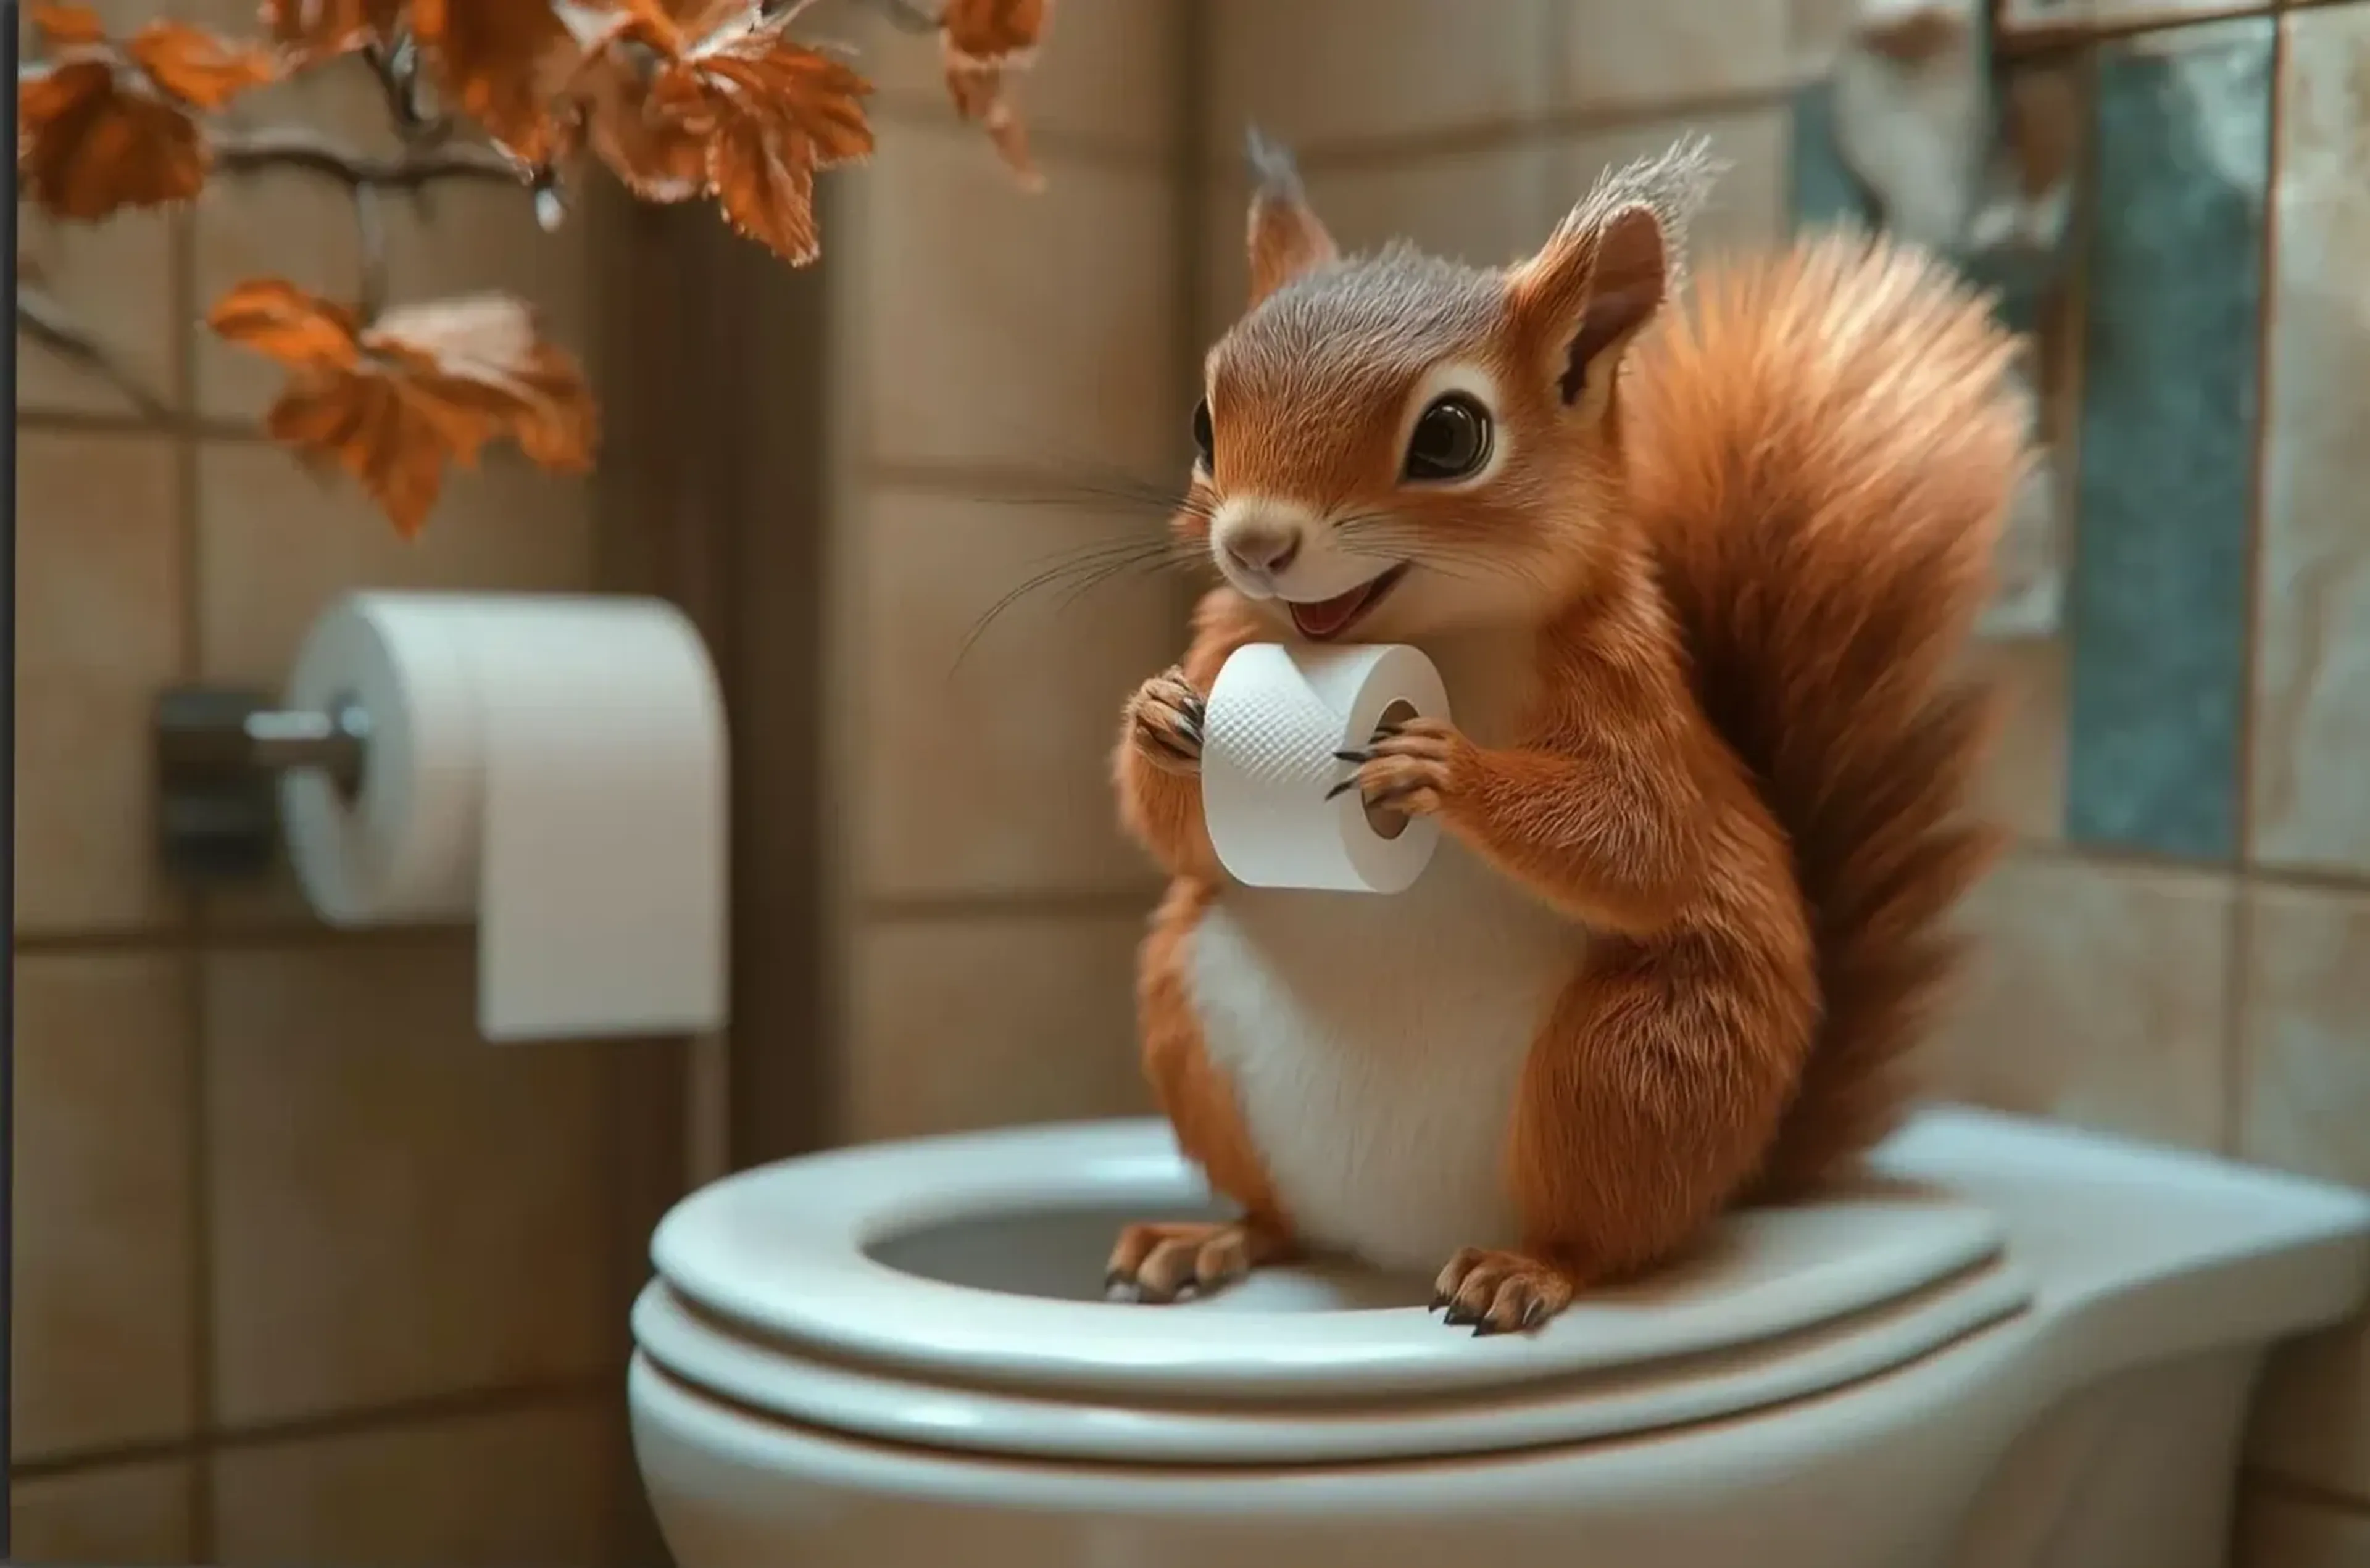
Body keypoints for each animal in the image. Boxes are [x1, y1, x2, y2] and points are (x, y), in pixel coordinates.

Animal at [1106, 132, 2029, 1336]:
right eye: (1203, 424)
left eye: (1451, 436)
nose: (1256, 545)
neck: (1432, 633)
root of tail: (1392, 1245)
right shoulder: (1233, 642)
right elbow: (1183, 838)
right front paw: (1159, 719)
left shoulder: (1634, 695)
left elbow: (1639, 836)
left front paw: (1442, 768)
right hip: (1194, 1013)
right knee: (1281, 1221)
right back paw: (1207, 1238)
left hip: (1637, 1062)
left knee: (1602, 1237)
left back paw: (1522, 1271)